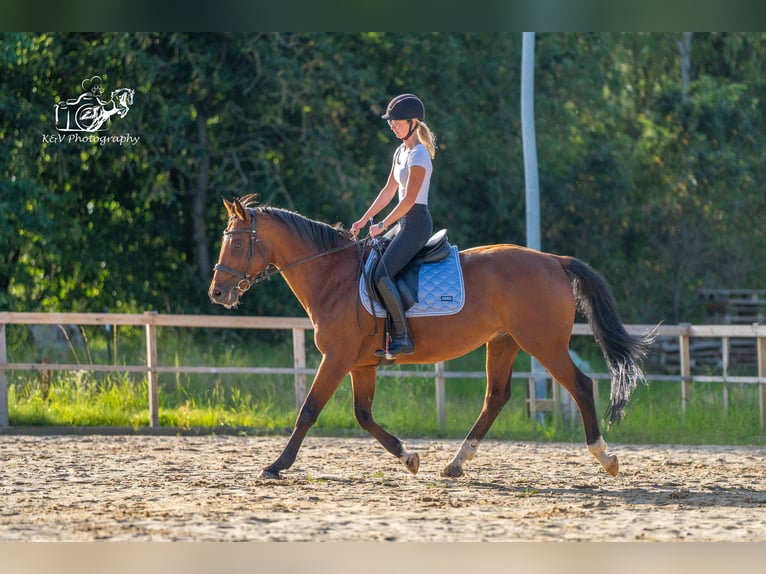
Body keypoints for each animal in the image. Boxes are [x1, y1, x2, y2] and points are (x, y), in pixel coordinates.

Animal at [208, 197, 656, 482]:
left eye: (236, 241)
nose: (217, 292)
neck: (332, 276)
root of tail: (553, 260)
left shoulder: (336, 358)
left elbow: (308, 411)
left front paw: (276, 465)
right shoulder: (361, 364)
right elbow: (363, 415)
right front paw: (409, 457)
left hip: (542, 343)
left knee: (580, 385)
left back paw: (605, 457)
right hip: (504, 342)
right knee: (495, 398)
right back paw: (456, 463)